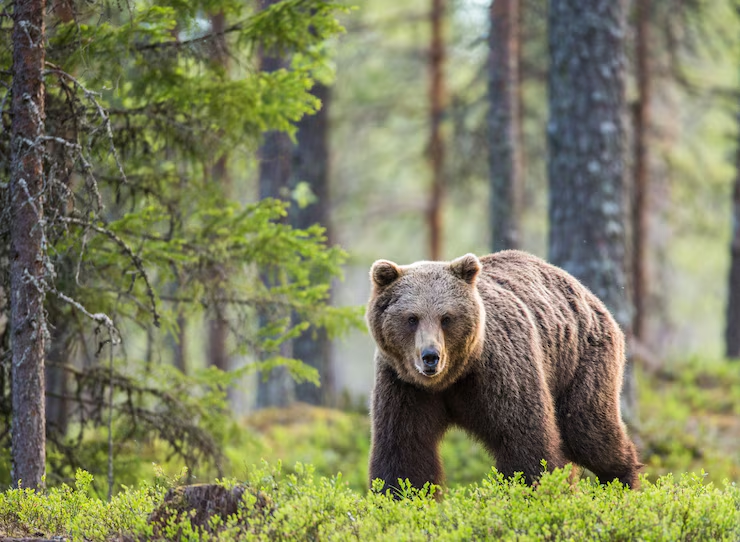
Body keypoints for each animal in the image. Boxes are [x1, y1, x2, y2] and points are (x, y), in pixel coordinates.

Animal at [368, 250, 640, 492]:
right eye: (412, 318)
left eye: (446, 318)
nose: (430, 357)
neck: (452, 378)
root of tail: (586, 293)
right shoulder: (404, 387)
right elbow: (405, 451)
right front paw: (400, 496)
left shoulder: (499, 373)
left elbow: (525, 441)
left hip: (580, 361)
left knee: (589, 432)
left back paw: (621, 483)